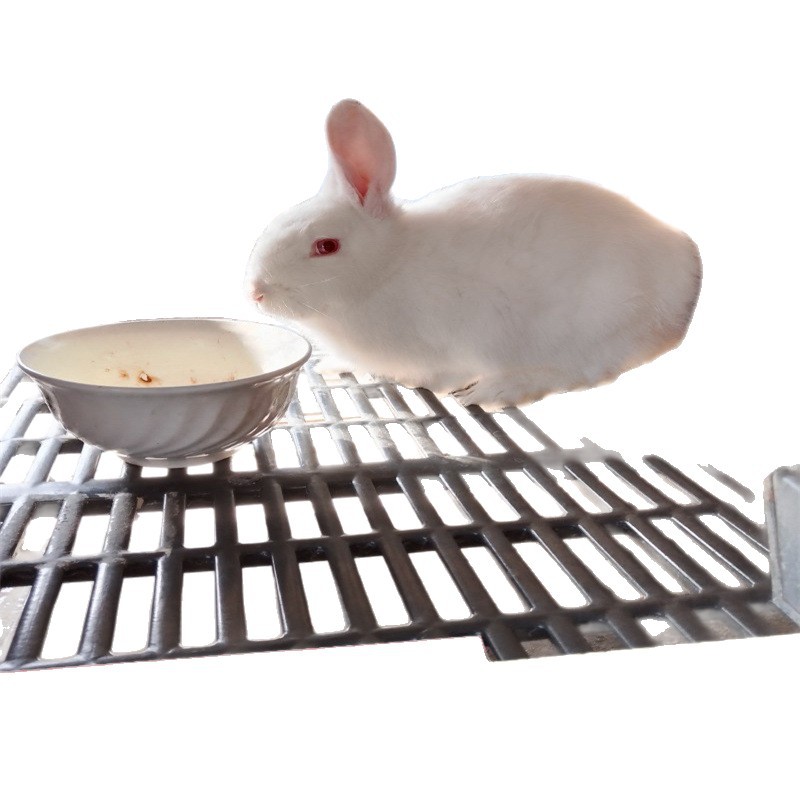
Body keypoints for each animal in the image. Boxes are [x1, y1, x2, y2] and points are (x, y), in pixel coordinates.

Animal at [245, 99, 701, 409]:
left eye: (325, 246)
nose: (256, 292)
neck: (388, 267)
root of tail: (685, 271)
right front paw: (332, 366)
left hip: (586, 325)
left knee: (581, 372)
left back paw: (494, 390)